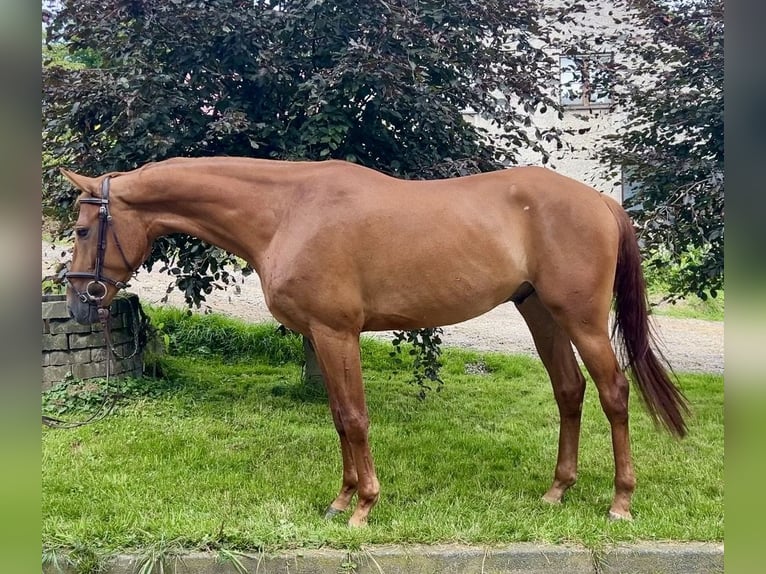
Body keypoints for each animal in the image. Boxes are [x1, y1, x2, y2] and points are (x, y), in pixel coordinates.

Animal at [63, 156, 688, 528]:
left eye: (83, 228)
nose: (77, 301)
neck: (288, 211)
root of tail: (601, 200)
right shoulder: (324, 337)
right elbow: (340, 418)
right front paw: (341, 500)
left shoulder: (336, 333)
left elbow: (355, 417)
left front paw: (363, 507)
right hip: (541, 313)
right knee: (568, 391)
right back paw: (557, 491)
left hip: (580, 319)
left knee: (613, 392)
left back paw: (621, 501)